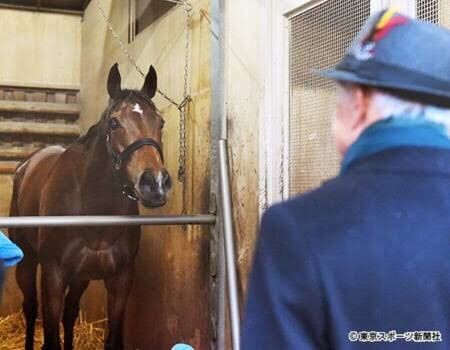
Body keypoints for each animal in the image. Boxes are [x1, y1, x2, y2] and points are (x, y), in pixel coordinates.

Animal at [9, 63, 171, 350]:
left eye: (160, 122)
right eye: (114, 123)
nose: (155, 184)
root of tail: (26, 166)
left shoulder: (120, 279)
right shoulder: (53, 275)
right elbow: (50, 339)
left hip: (80, 277)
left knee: (70, 313)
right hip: (27, 261)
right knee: (29, 307)